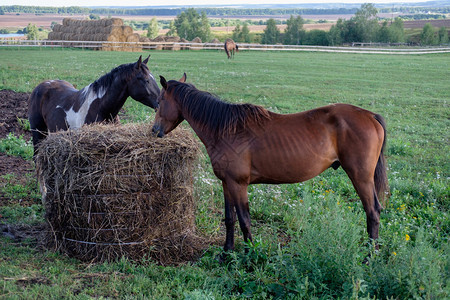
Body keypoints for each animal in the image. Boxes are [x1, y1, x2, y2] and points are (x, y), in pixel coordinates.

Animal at [153, 72, 388, 253]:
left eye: (159, 101)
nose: (155, 131)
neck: (224, 130)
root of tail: (370, 116)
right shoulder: (226, 183)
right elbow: (230, 219)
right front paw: (226, 253)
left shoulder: (239, 185)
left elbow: (245, 221)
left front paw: (251, 256)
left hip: (360, 177)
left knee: (372, 212)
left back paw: (369, 257)